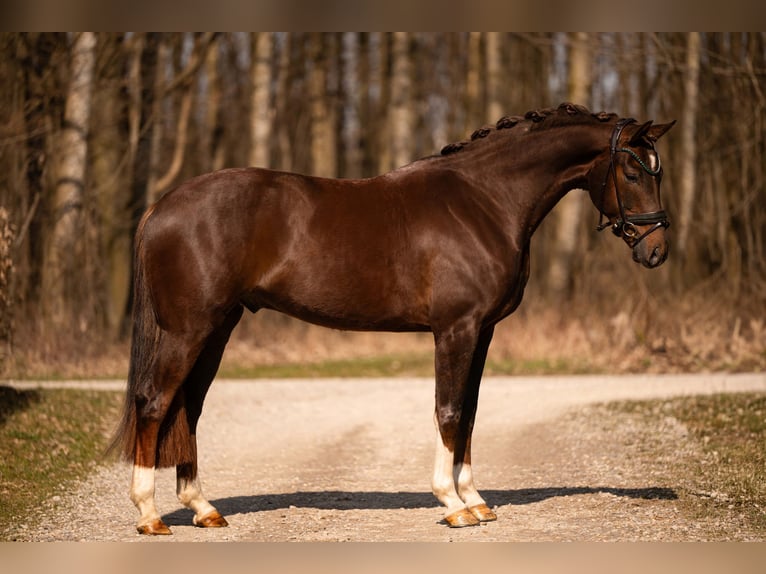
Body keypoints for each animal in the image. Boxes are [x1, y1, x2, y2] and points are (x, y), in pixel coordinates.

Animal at [109, 102, 675, 534]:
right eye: (631, 172)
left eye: (657, 171)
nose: (656, 251)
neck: (484, 201)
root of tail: (162, 206)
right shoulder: (456, 329)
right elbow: (448, 411)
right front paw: (453, 505)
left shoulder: (483, 332)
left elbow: (469, 413)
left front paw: (475, 500)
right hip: (188, 330)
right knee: (154, 402)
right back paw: (149, 515)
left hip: (217, 330)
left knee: (188, 409)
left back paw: (203, 509)